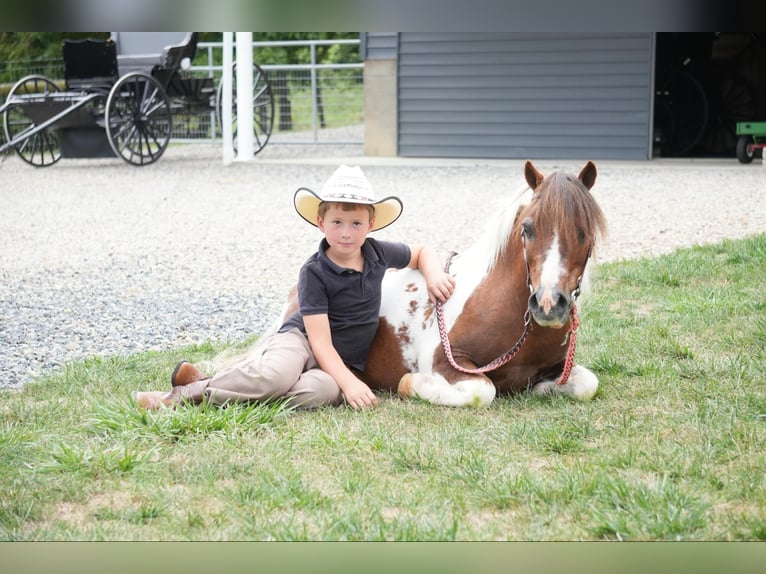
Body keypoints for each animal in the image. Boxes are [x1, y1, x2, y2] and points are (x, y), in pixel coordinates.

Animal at [362, 160, 612, 408]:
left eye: (584, 232)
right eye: (527, 228)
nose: (548, 305)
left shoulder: (559, 366)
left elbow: (587, 383)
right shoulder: (446, 359)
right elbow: (482, 390)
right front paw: (408, 382)